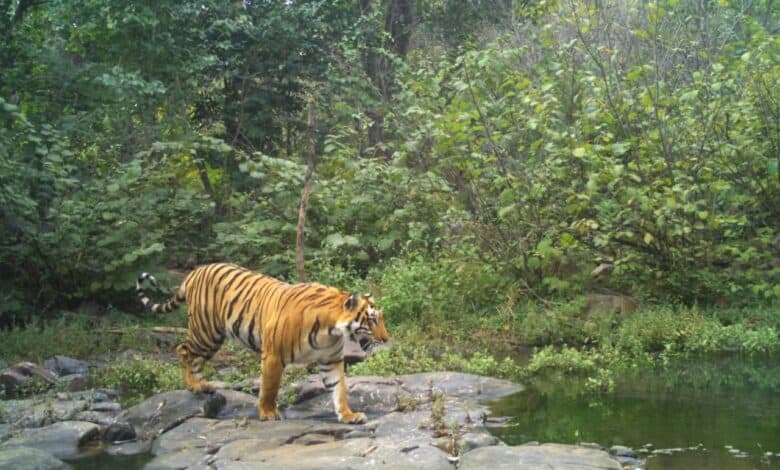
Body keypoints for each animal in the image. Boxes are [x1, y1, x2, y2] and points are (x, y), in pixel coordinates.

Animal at [136, 262, 389, 424]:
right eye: (373, 319)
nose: (386, 339)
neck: (331, 330)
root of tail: (194, 272)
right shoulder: (274, 355)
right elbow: (269, 387)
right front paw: (268, 413)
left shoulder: (331, 360)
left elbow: (339, 390)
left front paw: (348, 415)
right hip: (205, 331)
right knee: (183, 349)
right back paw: (192, 385)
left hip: (213, 338)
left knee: (196, 358)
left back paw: (202, 385)